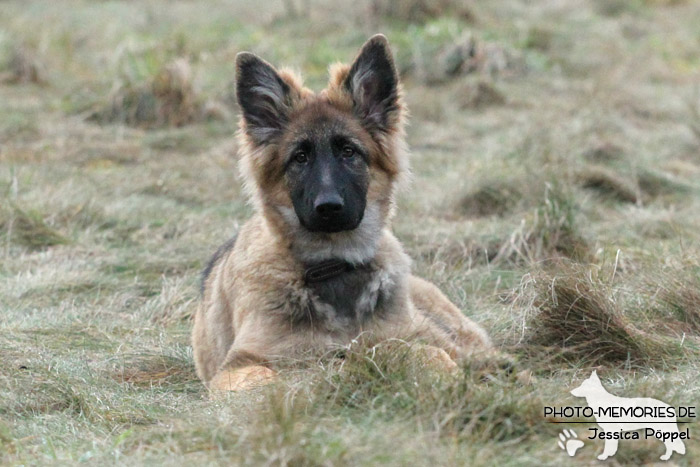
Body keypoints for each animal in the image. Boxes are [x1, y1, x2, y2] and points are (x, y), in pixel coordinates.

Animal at [191, 34, 494, 392]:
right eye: (300, 157)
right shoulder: (238, 365)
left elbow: (426, 354)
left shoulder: (406, 336)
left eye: (349, 152)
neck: (334, 264)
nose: (329, 207)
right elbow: (266, 378)